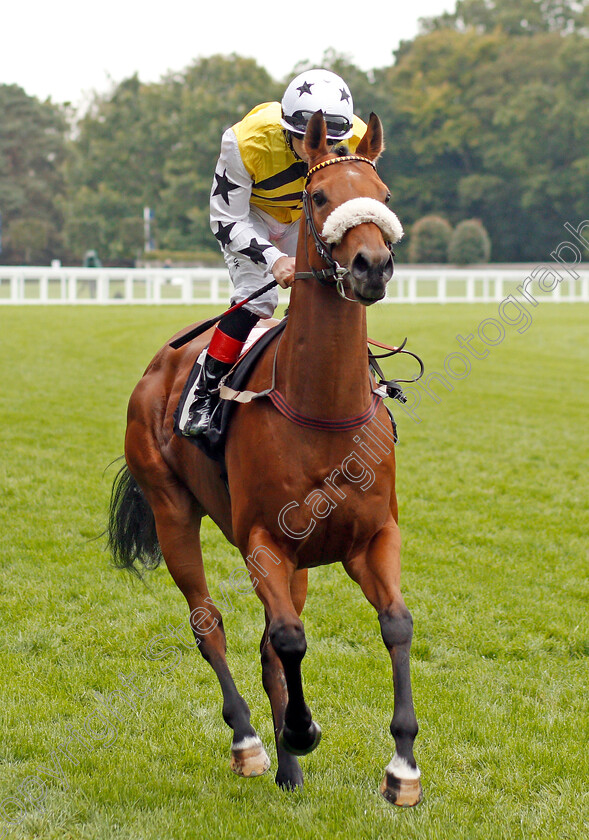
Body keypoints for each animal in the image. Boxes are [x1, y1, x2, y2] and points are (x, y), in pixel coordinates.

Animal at [108, 113, 422, 808]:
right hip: (173, 513)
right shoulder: (262, 543)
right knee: (210, 625)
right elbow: (288, 637)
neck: (322, 409)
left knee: (264, 641)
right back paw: (252, 743)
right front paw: (300, 731)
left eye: (384, 196)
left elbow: (394, 623)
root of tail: (157, 369)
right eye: (319, 197)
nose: (372, 265)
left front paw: (403, 766)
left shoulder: (371, 536)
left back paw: (287, 767)